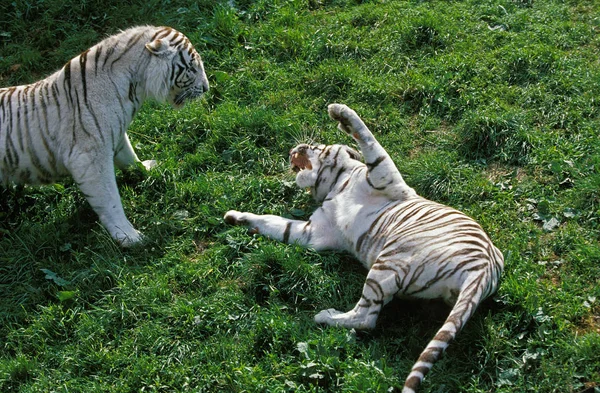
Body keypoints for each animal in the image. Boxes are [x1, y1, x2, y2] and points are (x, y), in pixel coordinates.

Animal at [0, 25, 210, 245]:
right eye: (191, 68)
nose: (206, 88)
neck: (135, 86)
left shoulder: (115, 134)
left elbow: (130, 157)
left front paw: (146, 169)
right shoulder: (89, 156)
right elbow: (110, 198)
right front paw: (129, 236)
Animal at [223, 104, 504, 392]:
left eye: (315, 145)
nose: (293, 149)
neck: (336, 185)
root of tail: (484, 272)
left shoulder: (384, 175)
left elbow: (368, 138)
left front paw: (339, 113)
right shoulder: (314, 234)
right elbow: (276, 223)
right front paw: (236, 217)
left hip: (388, 261)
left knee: (366, 318)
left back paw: (324, 316)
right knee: (367, 317)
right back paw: (327, 317)